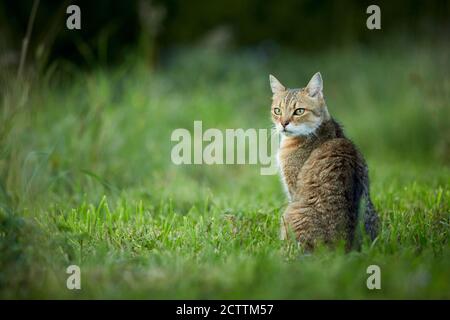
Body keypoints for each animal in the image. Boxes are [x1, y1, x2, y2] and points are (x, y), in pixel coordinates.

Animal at [270, 72, 380, 250]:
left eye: (299, 111)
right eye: (277, 110)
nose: (283, 123)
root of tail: (347, 247)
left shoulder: (292, 189)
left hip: (290, 213)